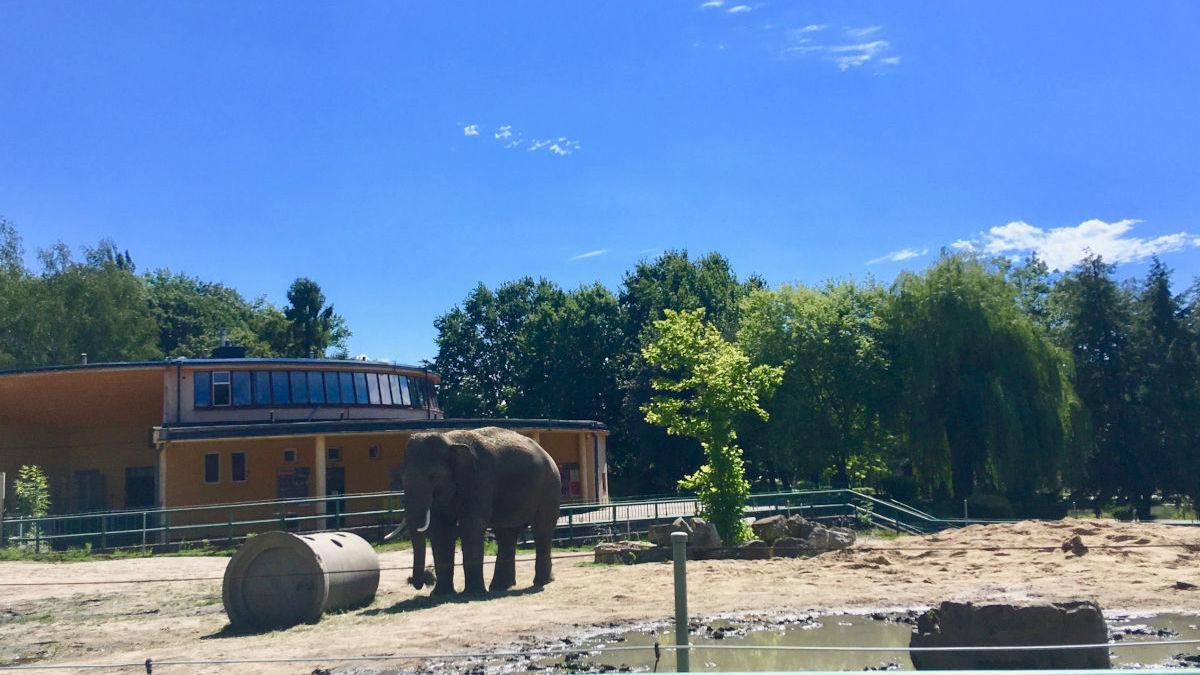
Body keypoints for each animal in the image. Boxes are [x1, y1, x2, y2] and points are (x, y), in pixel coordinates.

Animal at [398, 425, 556, 593]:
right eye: (402, 478)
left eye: (433, 476)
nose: (421, 581)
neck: (450, 440)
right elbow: (441, 530)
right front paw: (440, 594)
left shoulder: (480, 478)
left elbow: (471, 525)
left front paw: (473, 593)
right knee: (506, 533)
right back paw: (500, 586)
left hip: (549, 486)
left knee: (541, 530)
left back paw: (541, 581)